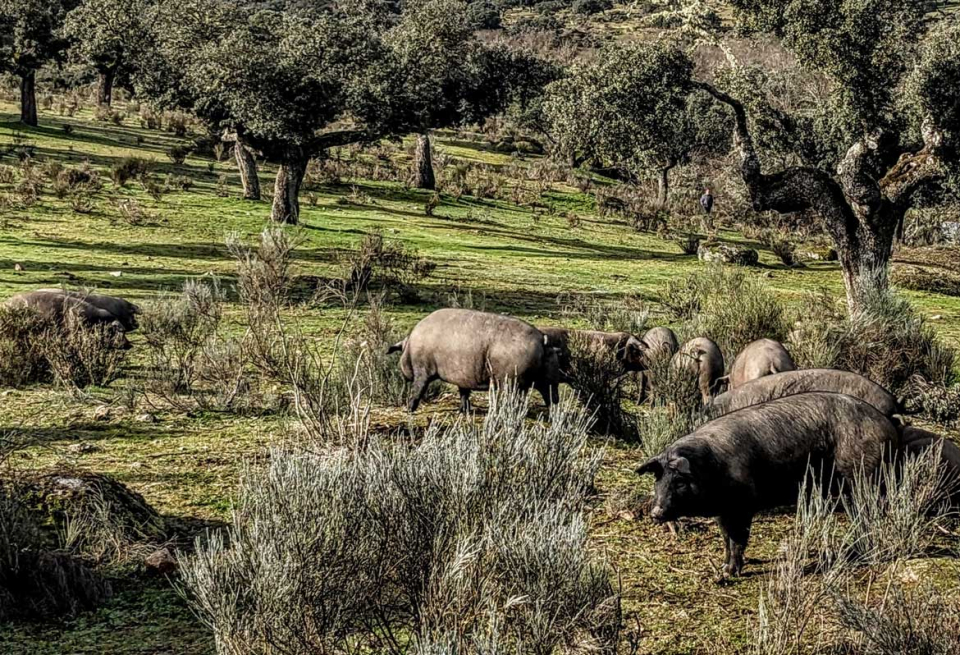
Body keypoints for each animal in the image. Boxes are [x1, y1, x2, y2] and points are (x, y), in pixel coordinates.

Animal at [390, 310, 564, 412]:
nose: (403, 376)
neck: (410, 345)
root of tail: (542, 339)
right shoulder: (462, 377)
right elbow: (463, 393)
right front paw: (463, 411)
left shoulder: (422, 369)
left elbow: (418, 389)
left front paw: (408, 409)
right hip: (550, 378)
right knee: (551, 397)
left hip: (510, 380)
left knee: (512, 399)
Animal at [636, 392, 900, 576]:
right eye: (658, 479)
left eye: (679, 481)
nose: (656, 512)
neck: (712, 467)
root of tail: (887, 426)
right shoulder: (723, 510)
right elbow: (726, 538)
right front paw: (722, 569)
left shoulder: (743, 505)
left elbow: (738, 538)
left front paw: (730, 574)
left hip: (864, 477)